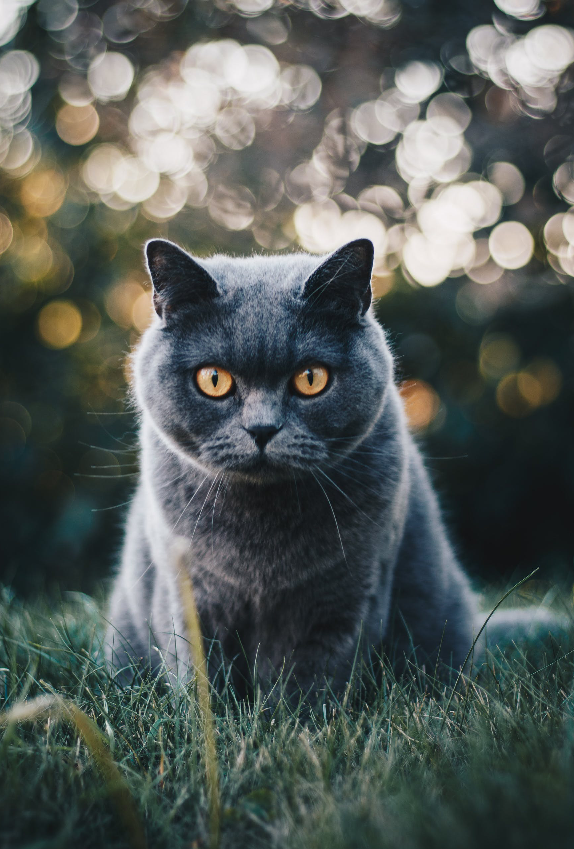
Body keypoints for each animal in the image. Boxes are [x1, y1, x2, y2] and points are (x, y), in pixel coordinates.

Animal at [107, 235, 564, 692]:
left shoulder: (347, 597)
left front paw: (293, 712)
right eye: (213, 380)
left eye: (311, 378)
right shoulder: (188, 592)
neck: (263, 537)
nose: (262, 428)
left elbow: (312, 684)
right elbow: (203, 677)